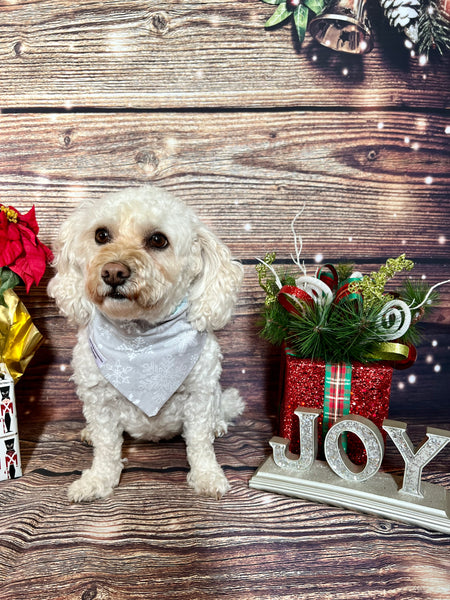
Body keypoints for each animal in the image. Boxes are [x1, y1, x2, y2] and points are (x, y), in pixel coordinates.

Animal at [48, 186, 244, 502]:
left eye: (158, 240)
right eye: (101, 235)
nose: (113, 272)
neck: (140, 339)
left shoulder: (200, 397)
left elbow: (199, 444)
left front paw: (207, 476)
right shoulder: (99, 401)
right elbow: (106, 446)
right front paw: (98, 480)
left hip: (214, 395)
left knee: (216, 412)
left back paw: (218, 425)